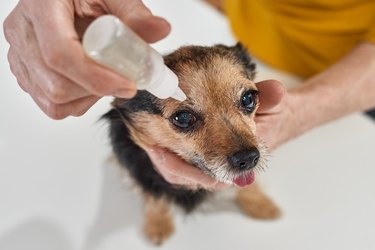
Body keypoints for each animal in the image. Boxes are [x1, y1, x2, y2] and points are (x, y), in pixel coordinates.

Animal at [104, 43, 280, 244]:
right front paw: (158, 225)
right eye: (183, 118)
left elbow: (249, 187)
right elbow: (155, 199)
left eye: (248, 99)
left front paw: (261, 204)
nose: (249, 158)